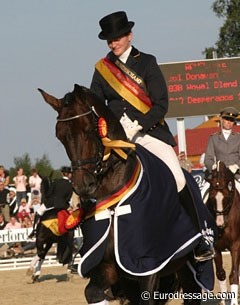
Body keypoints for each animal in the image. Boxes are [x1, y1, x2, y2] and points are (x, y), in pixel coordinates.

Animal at [39, 83, 216, 304]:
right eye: (60, 136)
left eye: (88, 130)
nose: (83, 186)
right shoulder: (109, 268)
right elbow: (92, 292)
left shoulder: (148, 265)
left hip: (188, 270)